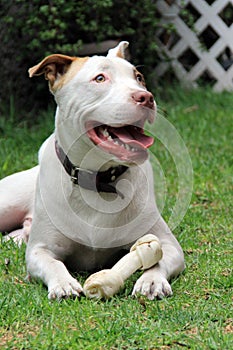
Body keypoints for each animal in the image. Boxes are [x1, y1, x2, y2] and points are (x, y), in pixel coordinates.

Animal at [0, 41, 186, 298]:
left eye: (139, 78)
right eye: (100, 78)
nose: (146, 97)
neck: (98, 179)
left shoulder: (168, 244)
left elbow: (158, 257)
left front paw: (151, 280)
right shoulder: (39, 249)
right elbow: (52, 262)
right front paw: (63, 283)